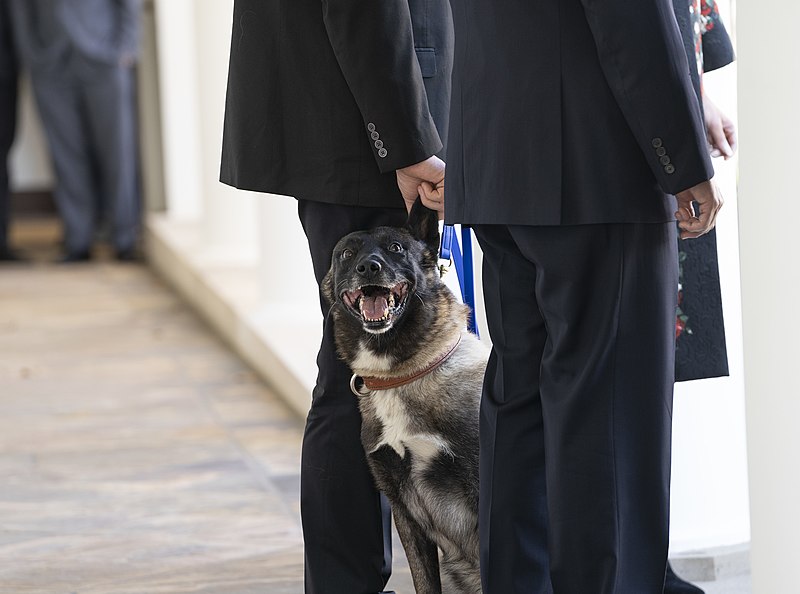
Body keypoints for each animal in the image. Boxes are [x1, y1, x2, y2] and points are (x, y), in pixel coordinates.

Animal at [324, 200, 488, 592]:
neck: (401, 374)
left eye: (396, 248)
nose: (369, 267)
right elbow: (424, 582)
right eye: (347, 254)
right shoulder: (404, 512)